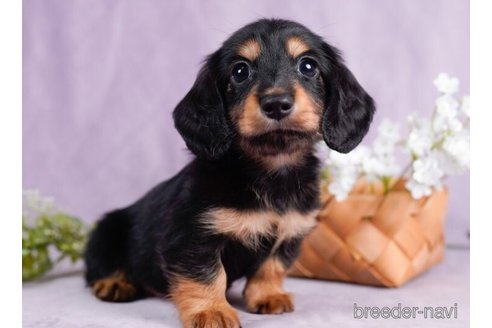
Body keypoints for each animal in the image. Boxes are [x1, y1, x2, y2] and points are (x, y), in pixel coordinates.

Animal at [84, 19, 374, 326]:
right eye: (240, 71)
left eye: (308, 66)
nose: (276, 103)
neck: (270, 173)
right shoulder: (193, 237)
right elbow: (207, 275)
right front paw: (211, 311)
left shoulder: (289, 233)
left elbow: (271, 267)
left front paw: (268, 296)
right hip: (106, 231)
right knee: (98, 267)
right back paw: (115, 283)